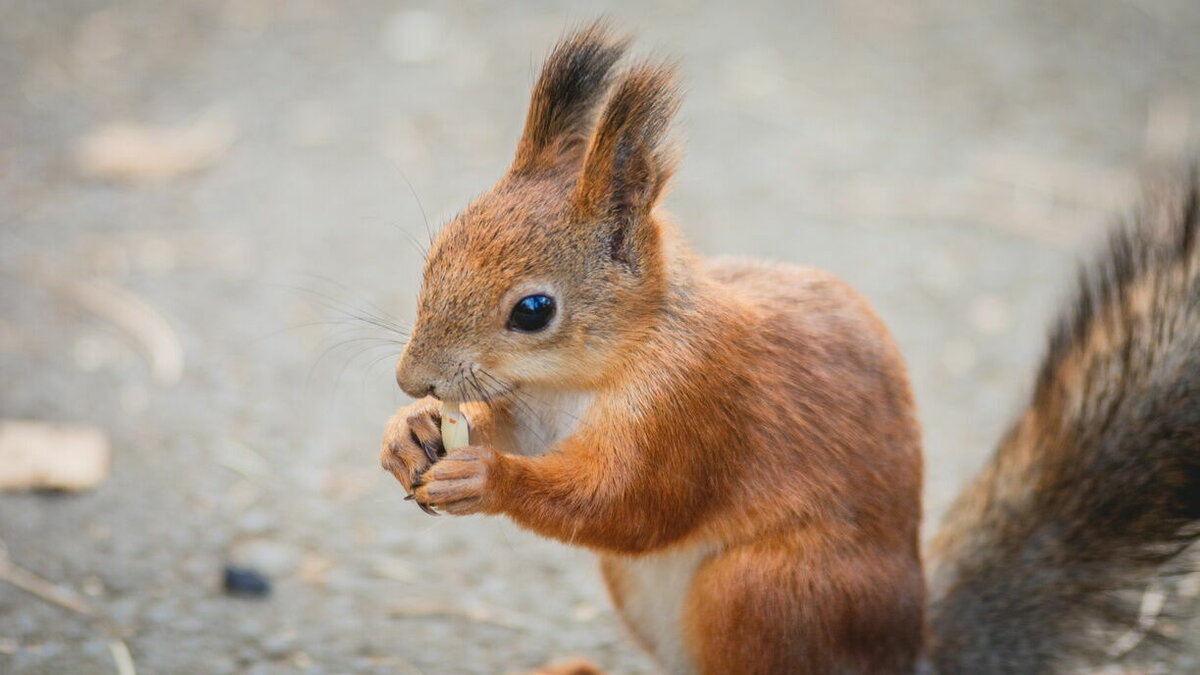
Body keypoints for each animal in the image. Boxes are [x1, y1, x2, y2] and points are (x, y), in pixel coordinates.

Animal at [376, 22, 1200, 672]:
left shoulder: (696, 405)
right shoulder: (532, 405)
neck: (585, 376)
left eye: (534, 310)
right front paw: (407, 435)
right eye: (436, 252)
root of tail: (908, 655)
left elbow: (630, 505)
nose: (411, 378)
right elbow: (512, 430)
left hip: (765, 589)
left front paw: (485, 475)